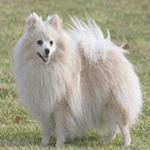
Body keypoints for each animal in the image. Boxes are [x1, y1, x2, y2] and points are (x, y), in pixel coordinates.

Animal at [12, 12, 142, 146]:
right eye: (39, 42)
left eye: (51, 42)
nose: (47, 50)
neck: (46, 68)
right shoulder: (44, 104)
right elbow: (45, 128)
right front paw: (44, 143)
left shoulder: (61, 105)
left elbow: (60, 127)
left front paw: (58, 144)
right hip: (105, 105)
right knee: (114, 125)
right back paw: (109, 139)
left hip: (115, 101)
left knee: (123, 125)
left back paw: (126, 143)